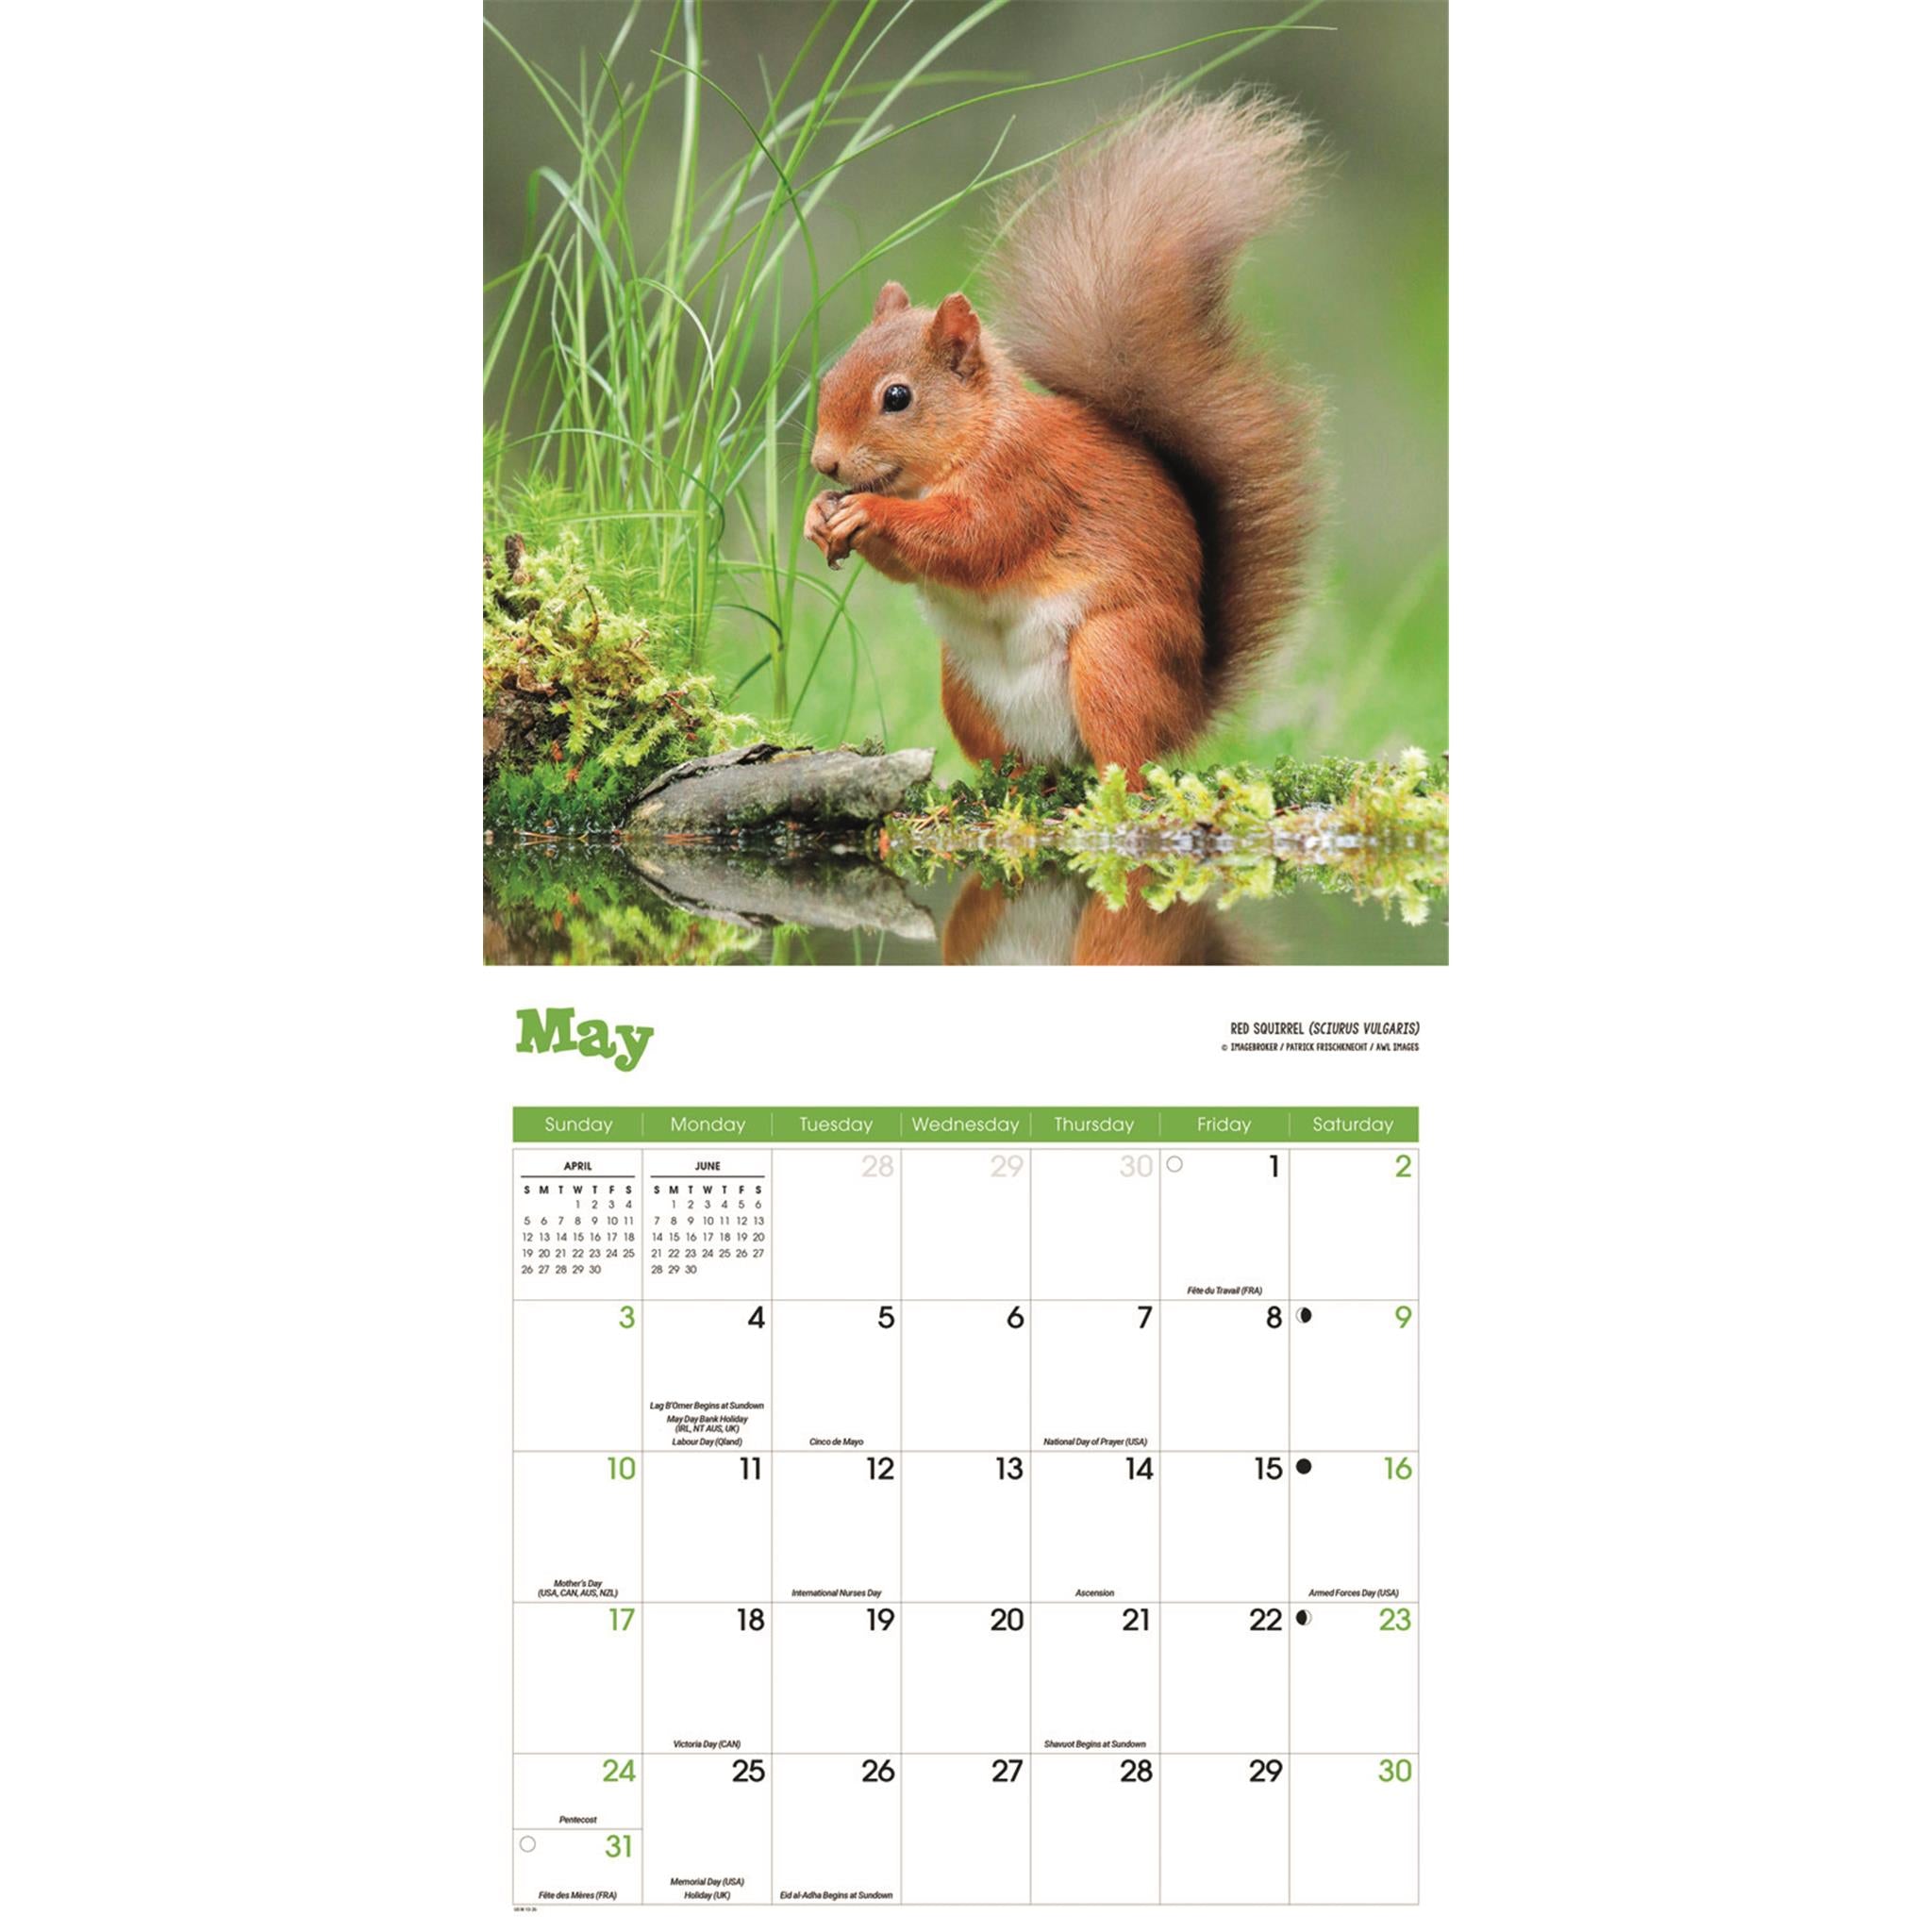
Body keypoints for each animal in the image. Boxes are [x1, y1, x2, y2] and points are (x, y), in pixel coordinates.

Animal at [805, 92, 1317, 783]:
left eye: (897, 397)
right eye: (831, 375)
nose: (824, 463)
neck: (973, 440)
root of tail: (1188, 708)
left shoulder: (1027, 481)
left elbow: (973, 540)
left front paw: (867, 511)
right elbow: (912, 568)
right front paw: (818, 516)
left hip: (1115, 659)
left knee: (1131, 759)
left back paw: (1113, 787)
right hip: (963, 687)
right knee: (1015, 760)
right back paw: (1003, 785)